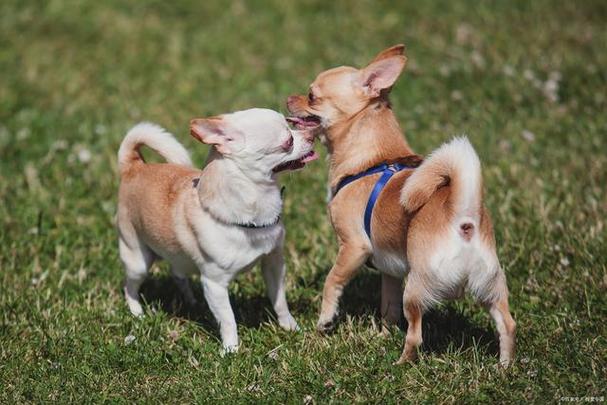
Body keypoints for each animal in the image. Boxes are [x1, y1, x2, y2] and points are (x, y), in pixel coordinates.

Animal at [116, 107, 320, 350]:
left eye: (291, 124)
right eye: (287, 141)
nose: (312, 134)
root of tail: (133, 166)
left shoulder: (274, 263)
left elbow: (280, 300)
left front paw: (291, 327)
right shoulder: (214, 285)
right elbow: (228, 319)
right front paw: (231, 349)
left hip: (176, 256)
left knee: (178, 272)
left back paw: (191, 301)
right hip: (138, 259)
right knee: (130, 287)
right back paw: (137, 313)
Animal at [288, 45, 516, 364]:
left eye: (311, 96)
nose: (288, 98)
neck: (372, 158)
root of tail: (463, 218)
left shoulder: (354, 247)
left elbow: (332, 281)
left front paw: (326, 320)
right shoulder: (390, 271)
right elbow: (388, 308)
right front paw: (381, 336)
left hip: (417, 288)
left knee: (416, 335)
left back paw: (400, 363)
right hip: (489, 286)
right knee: (506, 324)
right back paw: (505, 366)